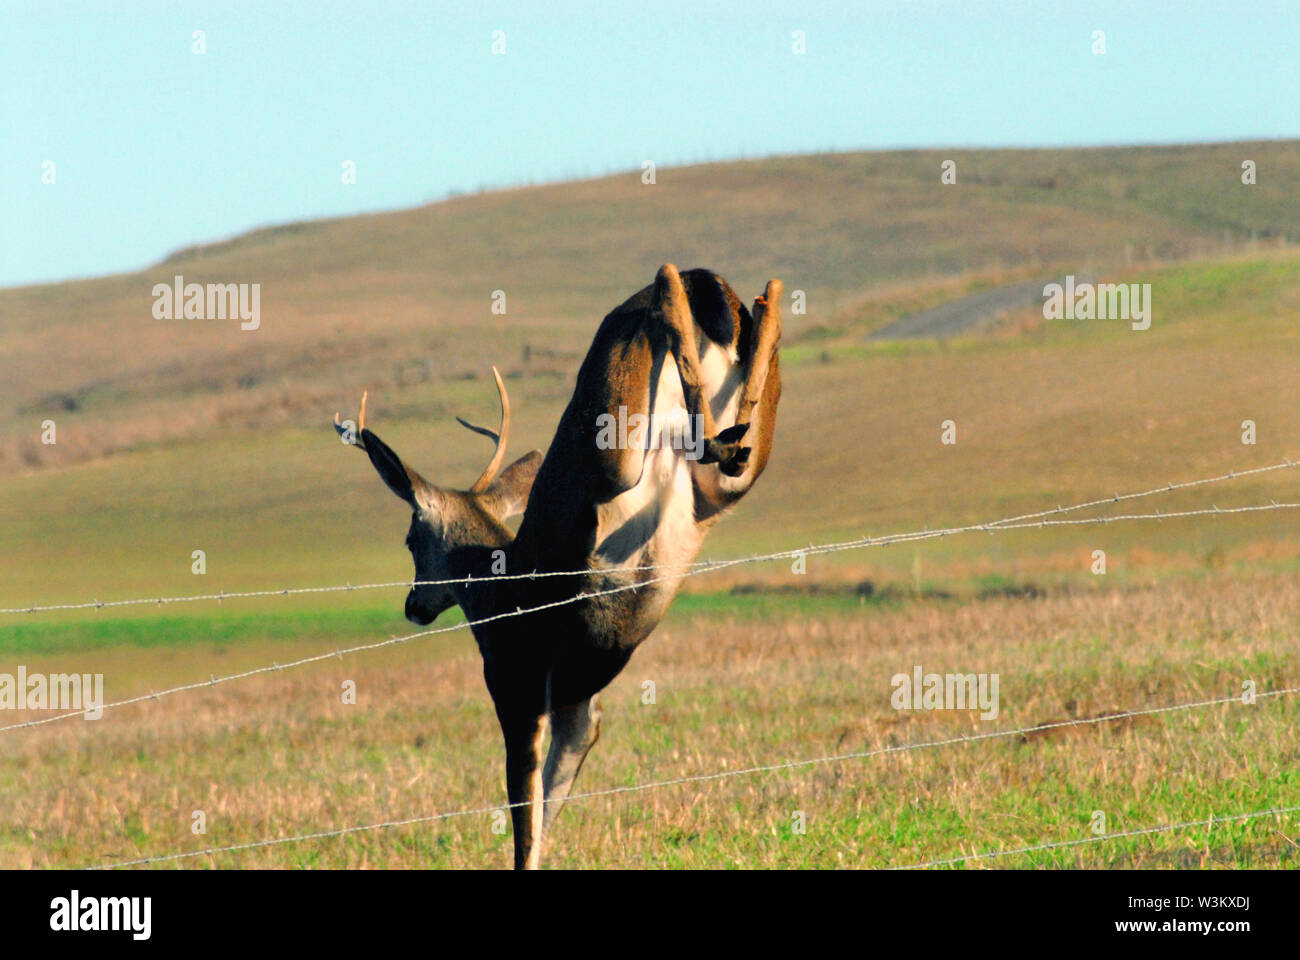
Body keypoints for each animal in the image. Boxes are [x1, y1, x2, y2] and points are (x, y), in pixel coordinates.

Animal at [335, 264, 780, 868]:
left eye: (410, 539)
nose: (412, 605)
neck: (494, 595)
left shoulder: (518, 689)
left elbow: (525, 821)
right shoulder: (580, 709)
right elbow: (548, 810)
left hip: (613, 444)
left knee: (662, 319)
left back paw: (670, 289)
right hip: (717, 486)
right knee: (744, 417)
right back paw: (751, 333)